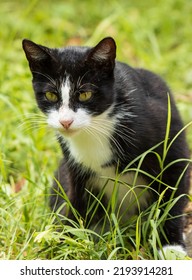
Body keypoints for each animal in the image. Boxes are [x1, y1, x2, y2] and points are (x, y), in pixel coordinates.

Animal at [22, 37, 190, 258]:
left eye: (85, 94)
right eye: (50, 95)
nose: (65, 122)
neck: (96, 127)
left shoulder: (172, 144)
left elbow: (172, 196)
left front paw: (171, 247)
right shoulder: (74, 168)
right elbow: (76, 200)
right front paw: (64, 241)